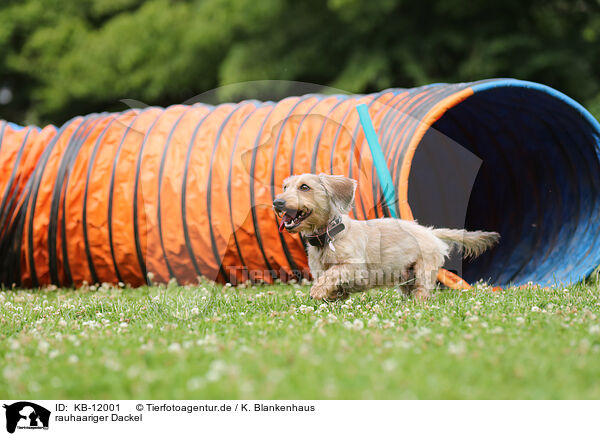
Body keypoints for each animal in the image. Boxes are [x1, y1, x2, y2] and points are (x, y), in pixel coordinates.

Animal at [274, 174, 500, 300]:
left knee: (422, 290)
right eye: (285, 187)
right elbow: (331, 283)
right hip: (406, 276)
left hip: (423, 269)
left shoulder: (355, 267)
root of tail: (429, 231)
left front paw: (318, 291)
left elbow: (333, 274)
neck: (328, 238)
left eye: (305, 187)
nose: (277, 202)